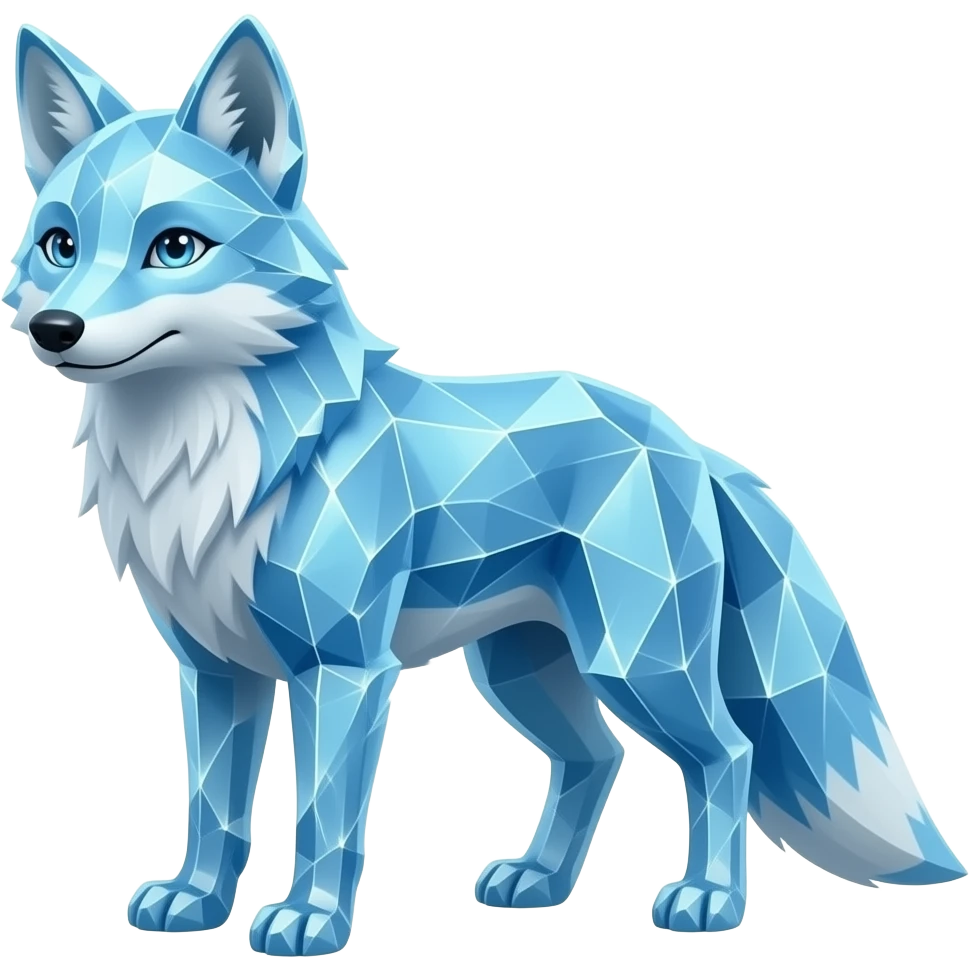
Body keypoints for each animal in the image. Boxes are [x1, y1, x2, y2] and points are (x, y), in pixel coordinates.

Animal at [6, 13, 966, 958]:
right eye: (60, 245)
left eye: (175, 248)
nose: (56, 329)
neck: (219, 465)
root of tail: (683, 440)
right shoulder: (214, 670)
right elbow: (212, 812)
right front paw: (197, 902)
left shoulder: (343, 669)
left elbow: (319, 821)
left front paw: (311, 920)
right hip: (522, 673)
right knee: (598, 759)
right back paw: (538, 882)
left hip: (637, 666)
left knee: (724, 754)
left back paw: (710, 900)